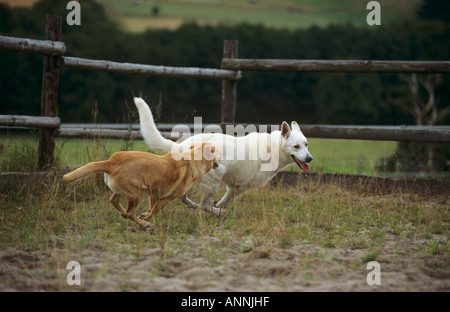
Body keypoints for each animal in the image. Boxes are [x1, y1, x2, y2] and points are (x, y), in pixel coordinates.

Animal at [62, 143, 220, 228]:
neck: (191, 159)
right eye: (217, 151)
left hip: (126, 191)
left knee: (115, 202)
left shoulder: (153, 193)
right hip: (136, 194)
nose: (222, 156)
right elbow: (154, 211)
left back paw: (126, 215)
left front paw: (144, 215)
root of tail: (111, 161)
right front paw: (146, 220)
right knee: (129, 212)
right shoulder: (165, 199)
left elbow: (151, 209)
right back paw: (143, 224)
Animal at [132, 98, 312, 217]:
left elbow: (225, 199)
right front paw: (219, 206)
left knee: (183, 197)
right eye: (296, 147)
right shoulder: (239, 187)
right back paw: (218, 213)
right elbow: (226, 200)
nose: (309, 158)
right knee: (203, 205)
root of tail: (181, 146)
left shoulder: (234, 186)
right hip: (214, 178)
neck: (273, 148)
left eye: (306, 144)